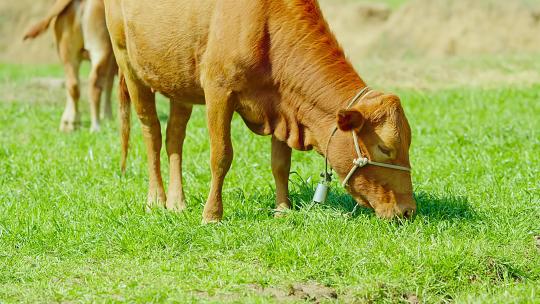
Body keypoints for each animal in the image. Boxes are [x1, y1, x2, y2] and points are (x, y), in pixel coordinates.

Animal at [24, 0, 116, 132]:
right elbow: (110, 85)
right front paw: (108, 117)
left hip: (67, 51)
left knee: (73, 84)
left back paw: (70, 122)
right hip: (101, 47)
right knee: (95, 85)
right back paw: (95, 126)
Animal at [105, 0, 418, 223]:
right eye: (385, 148)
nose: (408, 210)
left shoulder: (283, 107)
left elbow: (280, 163)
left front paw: (283, 209)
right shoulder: (218, 90)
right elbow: (221, 156)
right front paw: (212, 215)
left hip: (179, 79)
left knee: (174, 136)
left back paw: (176, 202)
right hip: (128, 62)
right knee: (152, 132)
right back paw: (156, 200)